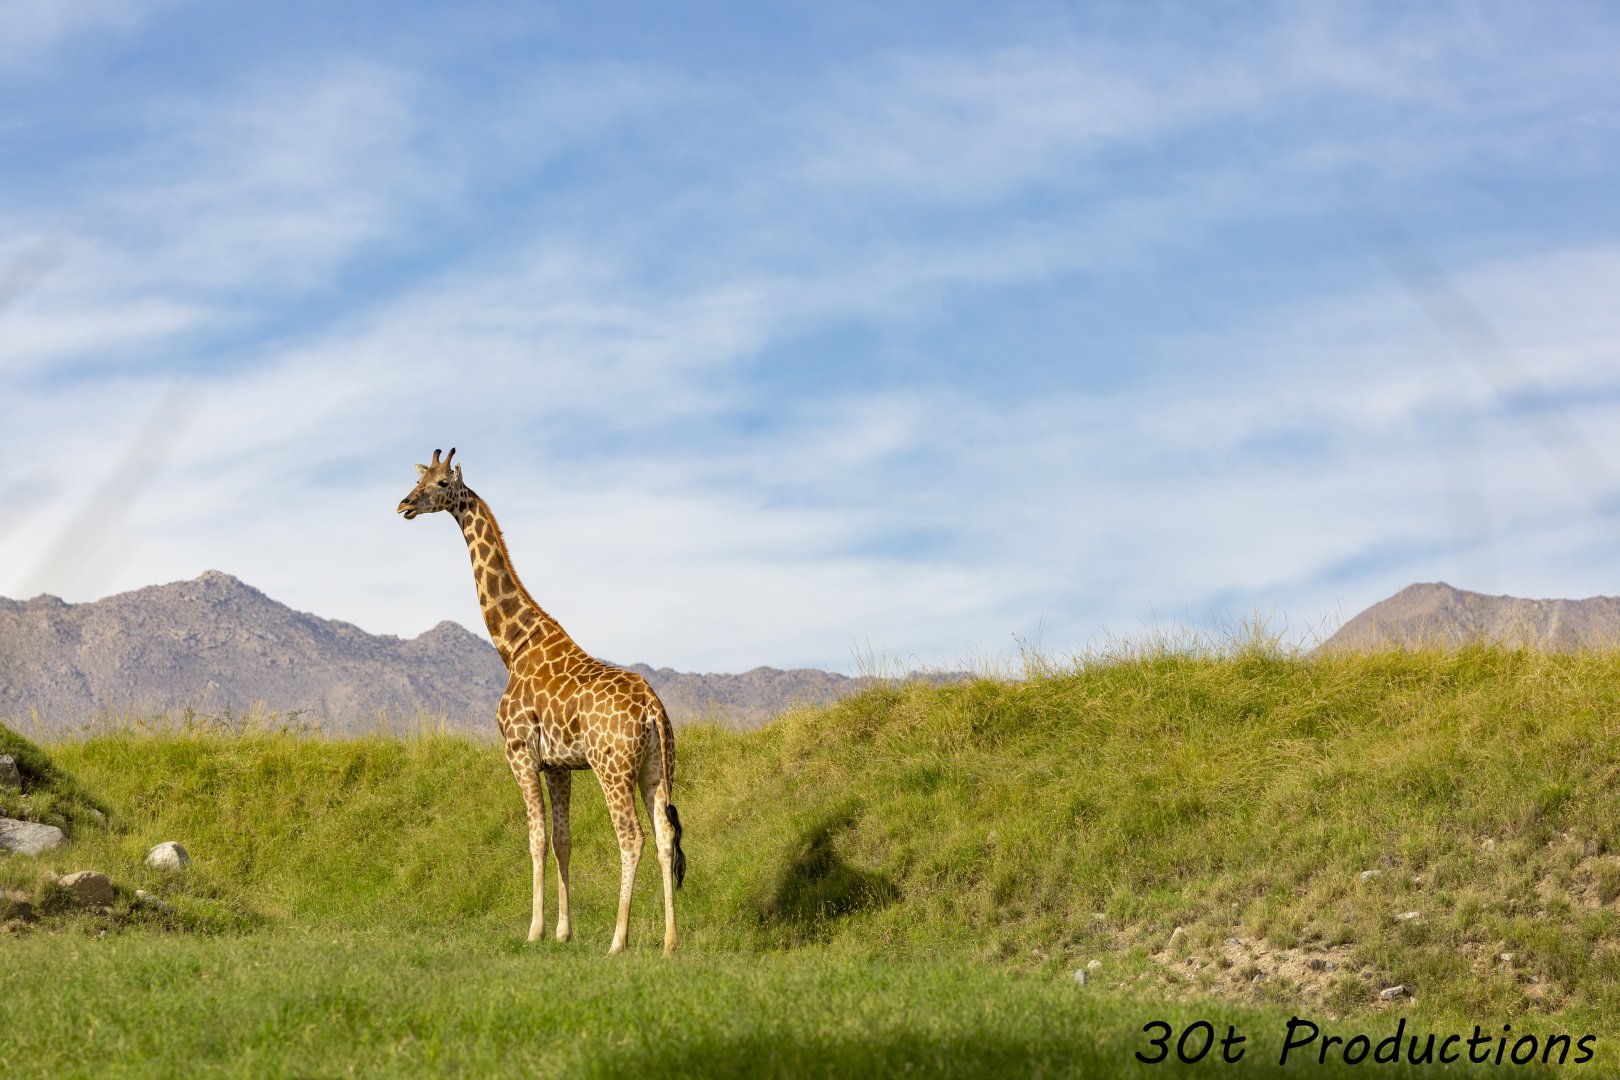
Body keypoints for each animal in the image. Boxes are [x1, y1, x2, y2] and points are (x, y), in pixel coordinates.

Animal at [397, 447, 685, 955]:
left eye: (440, 484)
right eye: (420, 479)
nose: (404, 504)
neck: (513, 645)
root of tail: (654, 710)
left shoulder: (518, 752)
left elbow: (534, 837)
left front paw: (534, 930)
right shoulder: (557, 765)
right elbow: (561, 840)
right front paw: (563, 931)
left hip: (612, 768)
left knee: (631, 837)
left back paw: (618, 940)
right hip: (654, 766)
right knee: (665, 832)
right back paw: (670, 942)